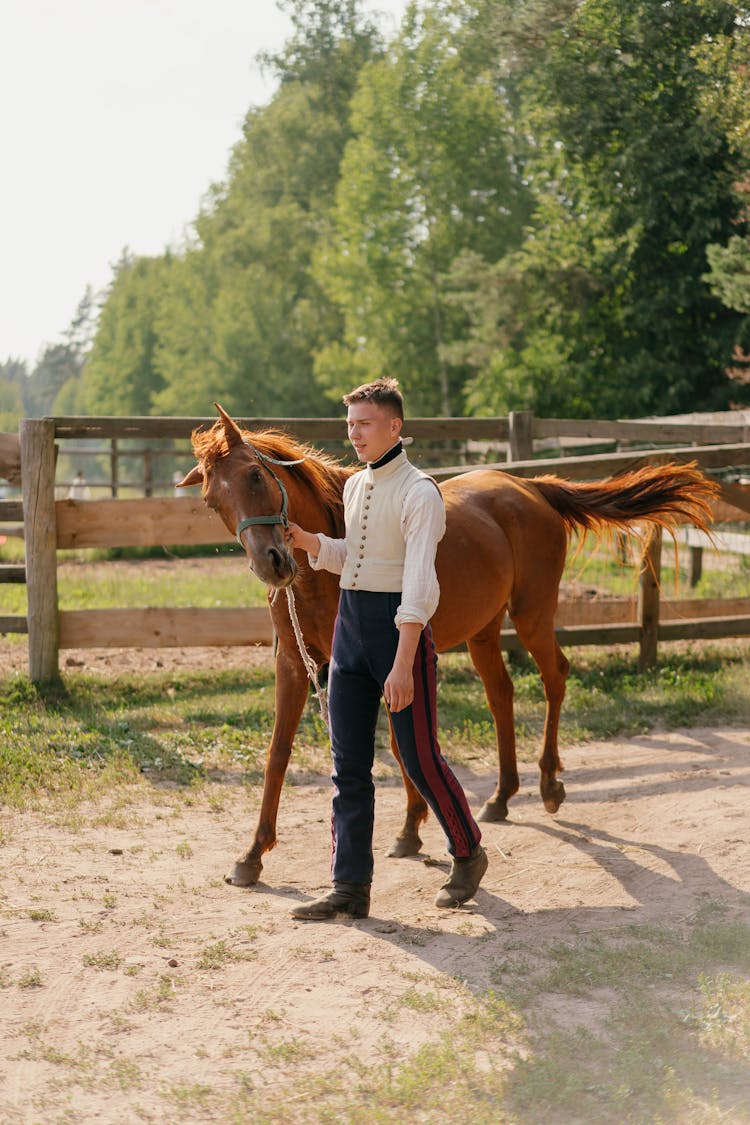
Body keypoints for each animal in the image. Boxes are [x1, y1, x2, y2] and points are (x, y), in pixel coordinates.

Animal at [178, 405, 719, 886]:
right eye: (211, 502)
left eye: (254, 475)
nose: (272, 563)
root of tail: (530, 488)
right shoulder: (294, 664)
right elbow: (278, 755)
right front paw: (252, 855)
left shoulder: (382, 664)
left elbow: (401, 746)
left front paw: (410, 830)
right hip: (484, 632)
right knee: (502, 694)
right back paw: (501, 796)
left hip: (532, 616)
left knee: (555, 677)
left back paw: (549, 785)